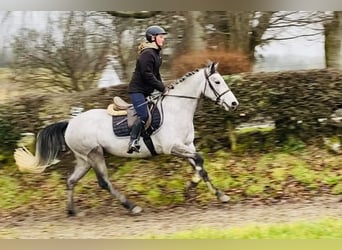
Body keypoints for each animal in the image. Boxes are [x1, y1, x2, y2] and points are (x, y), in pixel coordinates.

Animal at [13, 61, 238, 216]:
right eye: (217, 82)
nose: (234, 104)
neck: (177, 108)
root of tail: (70, 123)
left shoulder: (186, 145)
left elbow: (201, 166)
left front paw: (216, 194)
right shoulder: (172, 147)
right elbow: (199, 160)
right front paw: (192, 187)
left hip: (83, 159)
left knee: (71, 180)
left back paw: (73, 211)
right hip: (94, 154)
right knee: (104, 182)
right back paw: (132, 206)